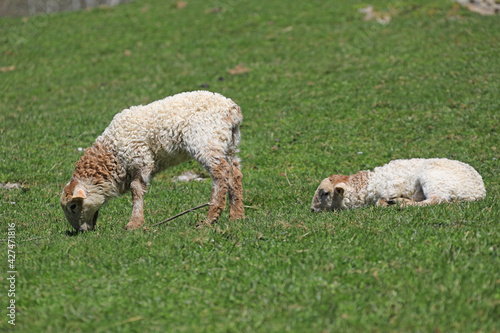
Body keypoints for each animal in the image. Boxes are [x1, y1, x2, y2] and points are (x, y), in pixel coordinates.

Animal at [60, 91, 244, 231]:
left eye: (73, 206)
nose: (81, 231)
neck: (111, 154)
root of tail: (232, 110)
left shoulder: (140, 157)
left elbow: (136, 188)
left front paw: (134, 223)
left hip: (206, 140)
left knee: (220, 173)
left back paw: (210, 218)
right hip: (228, 144)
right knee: (234, 173)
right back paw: (236, 216)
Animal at [310, 157, 486, 211]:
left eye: (325, 193)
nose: (312, 209)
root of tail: (479, 191)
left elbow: (380, 203)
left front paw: (390, 202)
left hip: (433, 177)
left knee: (438, 199)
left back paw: (400, 203)